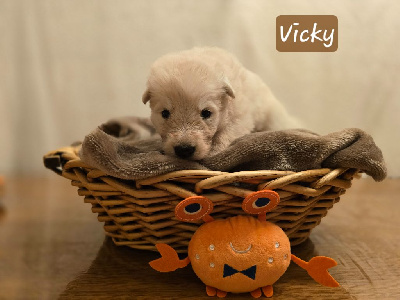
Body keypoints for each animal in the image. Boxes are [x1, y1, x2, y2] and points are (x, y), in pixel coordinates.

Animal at [142, 47, 298, 159]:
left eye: (206, 113)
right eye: (165, 113)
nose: (184, 150)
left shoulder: (241, 117)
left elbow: (227, 133)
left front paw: (214, 152)